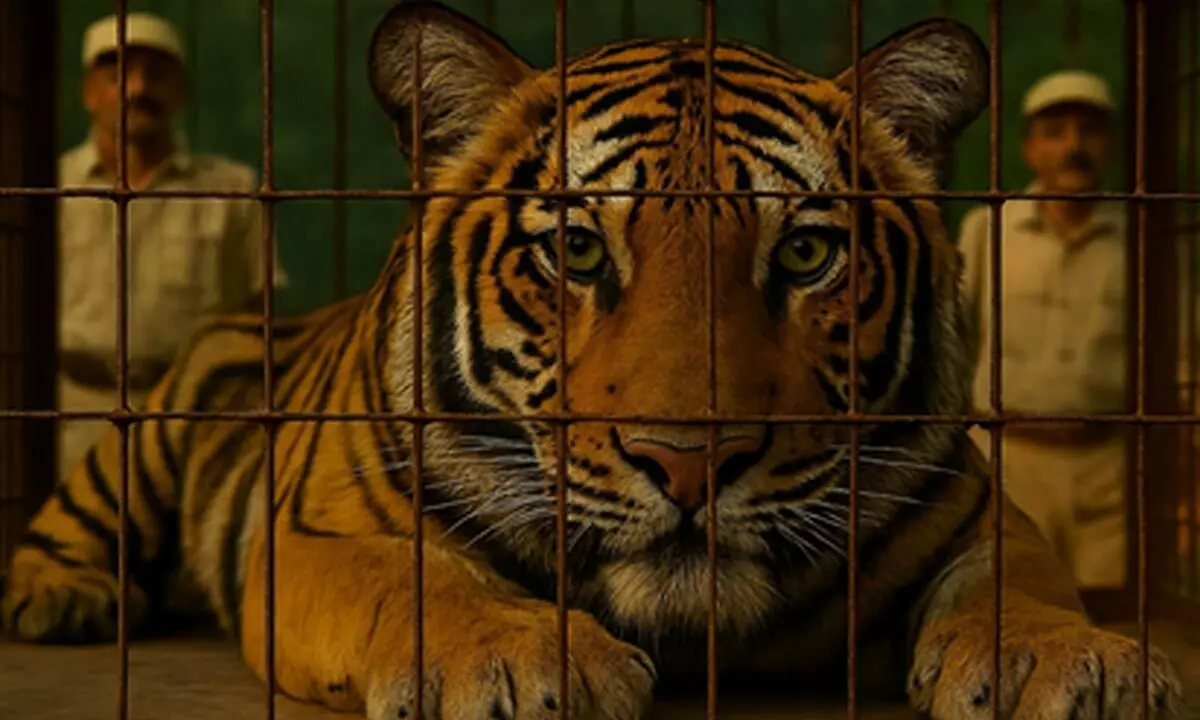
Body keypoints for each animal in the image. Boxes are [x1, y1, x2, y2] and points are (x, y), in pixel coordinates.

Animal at [2, 1, 1185, 718]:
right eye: (576, 249)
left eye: (805, 253)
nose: (692, 464)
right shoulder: (325, 529)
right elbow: (424, 581)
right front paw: (521, 659)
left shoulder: (976, 507)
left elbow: (1019, 584)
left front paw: (1077, 662)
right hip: (154, 432)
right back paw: (59, 600)